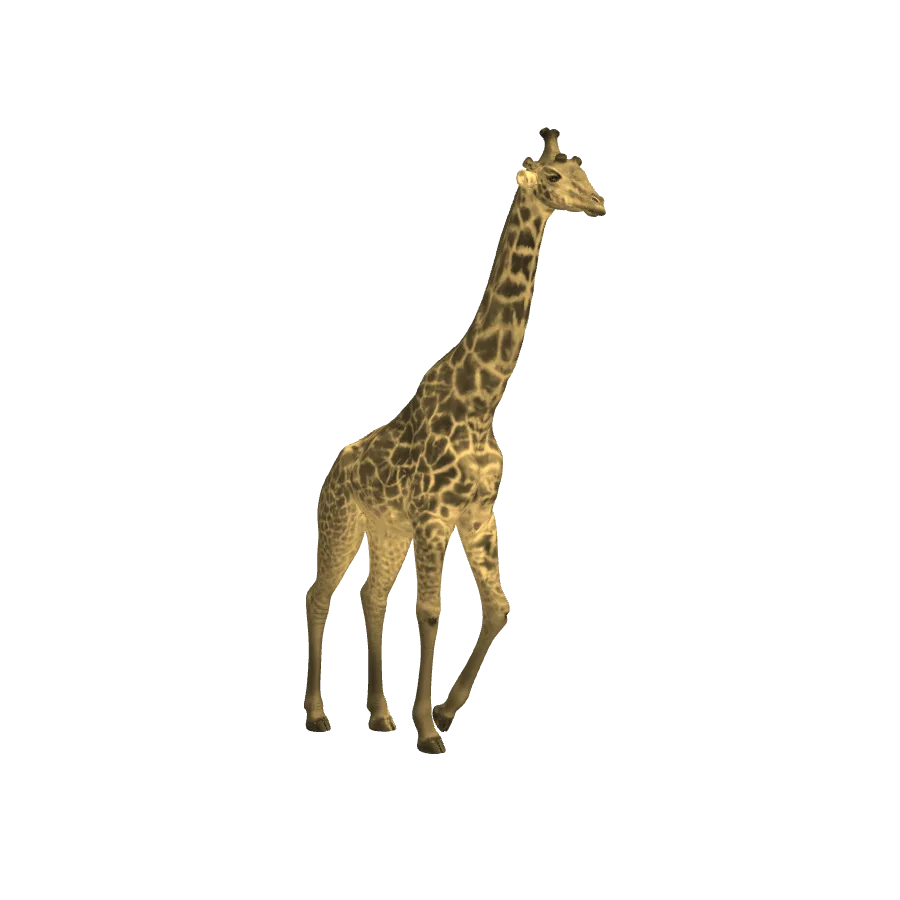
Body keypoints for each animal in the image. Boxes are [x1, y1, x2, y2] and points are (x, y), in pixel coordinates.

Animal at [304, 127, 606, 753]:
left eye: (583, 171)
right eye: (553, 177)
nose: (599, 203)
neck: (482, 398)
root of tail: (334, 469)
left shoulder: (477, 514)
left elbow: (498, 606)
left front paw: (440, 714)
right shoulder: (433, 516)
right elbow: (429, 612)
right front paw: (427, 733)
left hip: (387, 530)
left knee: (371, 597)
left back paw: (379, 716)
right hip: (342, 522)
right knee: (318, 596)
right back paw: (318, 716)